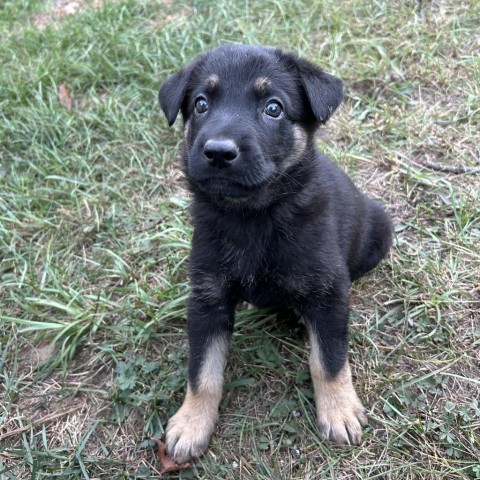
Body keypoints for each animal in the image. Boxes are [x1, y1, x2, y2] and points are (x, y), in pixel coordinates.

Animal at [159, 44, 392, 462]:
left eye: (273, 107)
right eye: (201, 104)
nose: (219, 152)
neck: (253, 215)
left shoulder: (328, 289)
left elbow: (329, 359)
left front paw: (339, 409)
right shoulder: (207, 297)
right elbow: (202, 371)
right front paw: (191, 422)